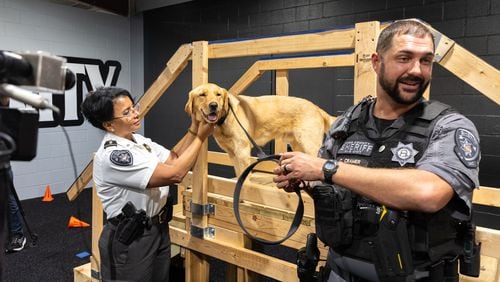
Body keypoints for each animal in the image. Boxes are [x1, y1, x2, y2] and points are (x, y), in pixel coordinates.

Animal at [185, 82, 336, 176]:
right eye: (202, 95)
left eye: (218, 95)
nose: (214, 105)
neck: (225, 118)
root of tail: (316, 107)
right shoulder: (232, 153)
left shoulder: (242, 152)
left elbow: (244, 177)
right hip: (298, 146)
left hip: (310, 145)